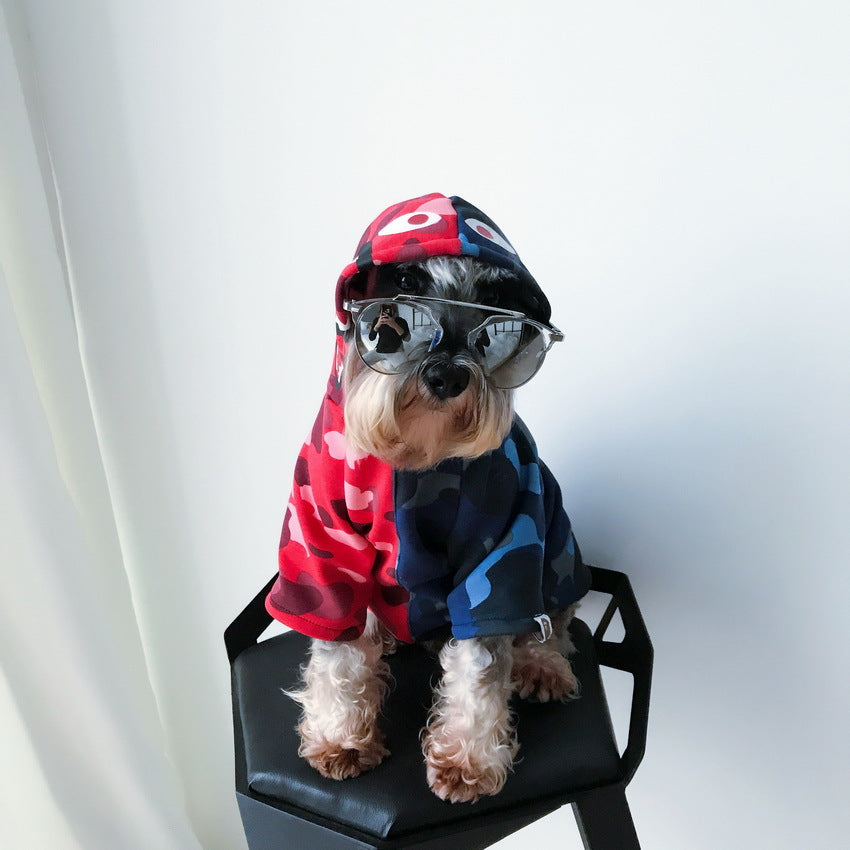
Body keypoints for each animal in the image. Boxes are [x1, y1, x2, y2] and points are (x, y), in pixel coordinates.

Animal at [264, 194, 588, 800]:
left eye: (495, 321)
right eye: (396, 309)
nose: (447, 377)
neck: (415, 457)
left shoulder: (498, 552)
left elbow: (482, 663)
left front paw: (467, 760)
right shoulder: (321, 544)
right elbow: (336, 650)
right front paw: (341, 738)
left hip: (557, 539)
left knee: (555, 618)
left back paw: (543, 666)